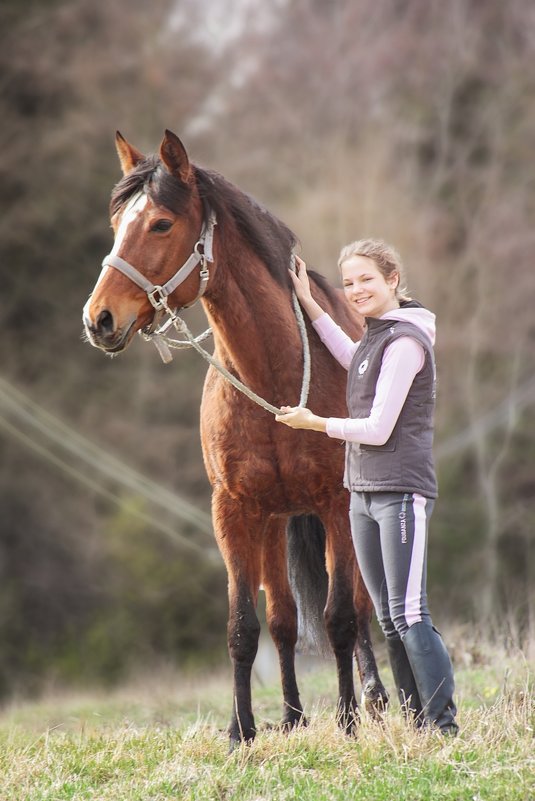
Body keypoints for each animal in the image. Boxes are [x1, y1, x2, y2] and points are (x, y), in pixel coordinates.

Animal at [81, 128, 388, 748]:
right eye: (117, 222)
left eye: (161, 224)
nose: (98, 319)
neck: (270, 373)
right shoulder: (234, 511)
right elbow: (245, 627)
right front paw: (240, 731)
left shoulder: (336, 506)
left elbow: (341, 617)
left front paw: (346, 720)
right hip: (273, 523)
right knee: (284, 619)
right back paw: (292, 716)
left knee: (365, 607)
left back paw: (379, 697)